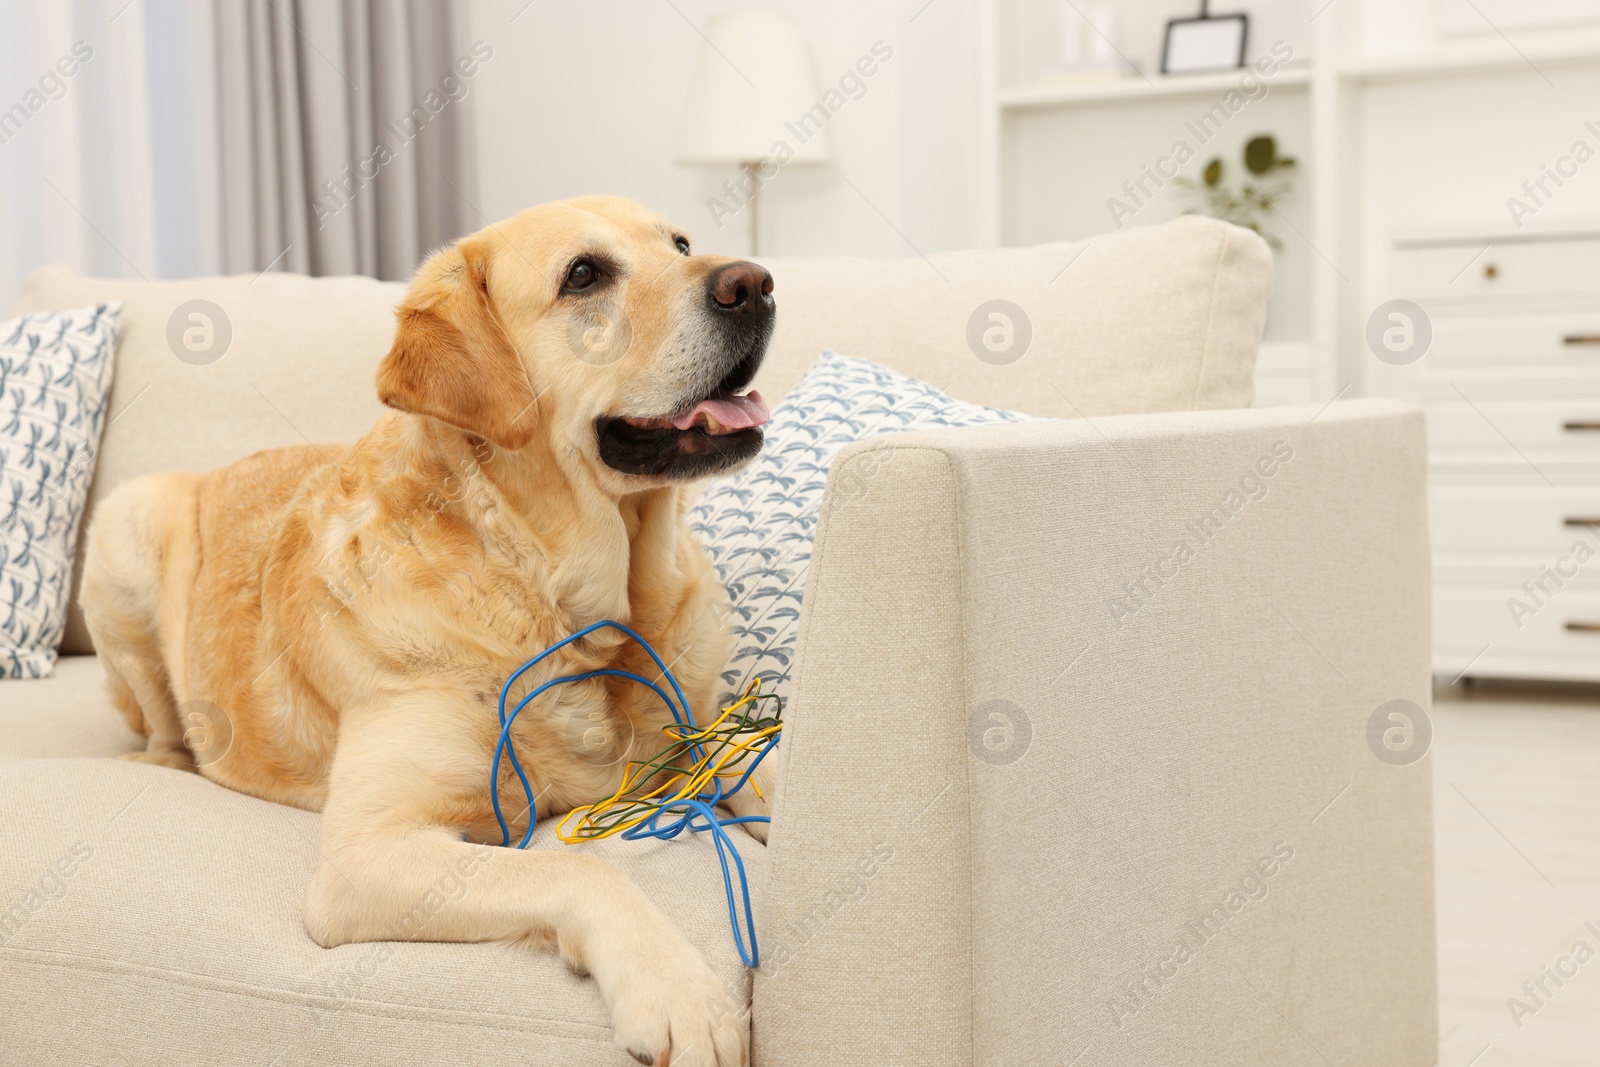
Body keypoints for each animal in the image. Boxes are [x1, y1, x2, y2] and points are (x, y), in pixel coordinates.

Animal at [81, 195, 774, 1062]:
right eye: (584, 275)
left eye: (679, 244)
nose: (755, 283)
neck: (558, 597)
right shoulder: (367, 854)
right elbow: (577, 869)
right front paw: (679, 989)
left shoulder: (703, 726)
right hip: (124, 525)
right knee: (159, 729)